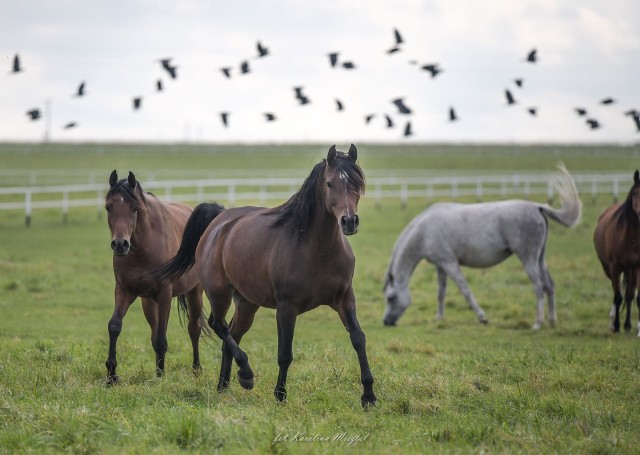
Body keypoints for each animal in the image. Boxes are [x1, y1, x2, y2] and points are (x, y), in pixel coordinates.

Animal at [105, 171, 225, 384]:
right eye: (108, 207)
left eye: (135, 209)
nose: (120, 244)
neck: (143, 249)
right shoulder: (124, 290)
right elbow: (115, 326)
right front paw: (112, 374)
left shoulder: (164, 295)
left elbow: (162, 339)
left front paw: (161, 377)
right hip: (148, 302)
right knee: (155, 333)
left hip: (194, 293)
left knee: (193, 329)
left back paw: (196, 369)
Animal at [154, 147, 376, 410]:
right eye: (330, 183)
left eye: (357, 183)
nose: (349, 221)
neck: (317, 249)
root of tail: (219, 221)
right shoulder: (287, 308)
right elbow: (285, 353)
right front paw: (280, 395)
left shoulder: (345, 299)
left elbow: (358, 339)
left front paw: (369, 395)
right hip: (219, 293)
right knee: (218, 325)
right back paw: (246, 375)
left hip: (248, 303)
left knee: (231, 333)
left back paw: (223, 386)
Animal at [382, 164, 584, 332]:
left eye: (390, 298)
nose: (386, 321)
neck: (424, 231)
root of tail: (537, 207)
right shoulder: (441, 266)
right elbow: (441, 293)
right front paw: (439, 319)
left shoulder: (450, 264)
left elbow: (465, 290)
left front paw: (482, 317)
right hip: (540, 259)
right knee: (549, 285)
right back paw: (552, 321)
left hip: (528, 259)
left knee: (539, 287)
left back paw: (538, 323)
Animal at [592, 171, 640, 334]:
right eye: (634, 193)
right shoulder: (615, 267)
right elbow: (618, 297)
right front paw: (617, 325)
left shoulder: (636, 267)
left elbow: (630, 295)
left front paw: (627, 325)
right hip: (608, 268)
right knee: (616, 291)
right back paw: (612, 321)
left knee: (628, 293)